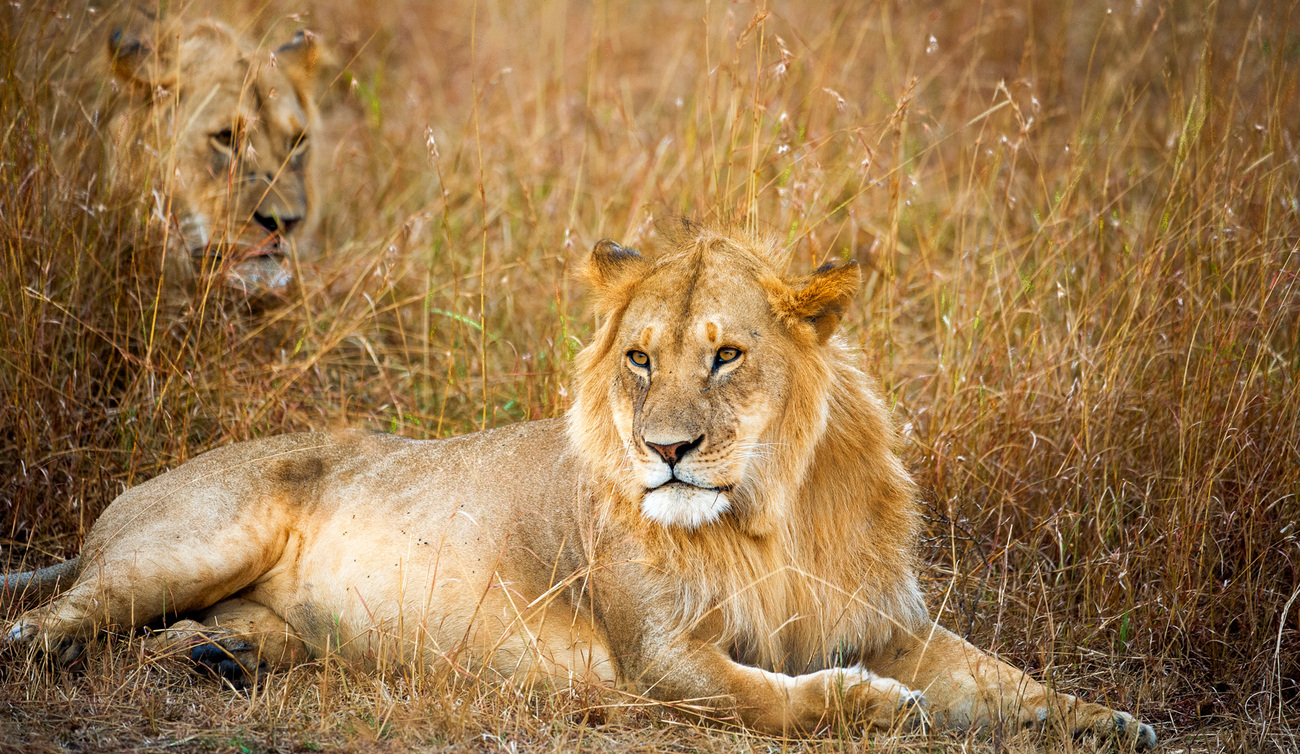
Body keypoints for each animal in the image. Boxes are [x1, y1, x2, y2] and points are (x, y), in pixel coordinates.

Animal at [0, 223, 1159, 748]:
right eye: (640, 359)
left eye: (726, 356)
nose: (666, 450)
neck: (767, 522)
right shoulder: (660, 660)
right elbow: (785, 698)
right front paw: (879, 706)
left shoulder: (888, 620)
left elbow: (1010, 681)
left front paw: (1109, 721)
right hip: (193, 540)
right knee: (50, 622)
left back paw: (221, 656)